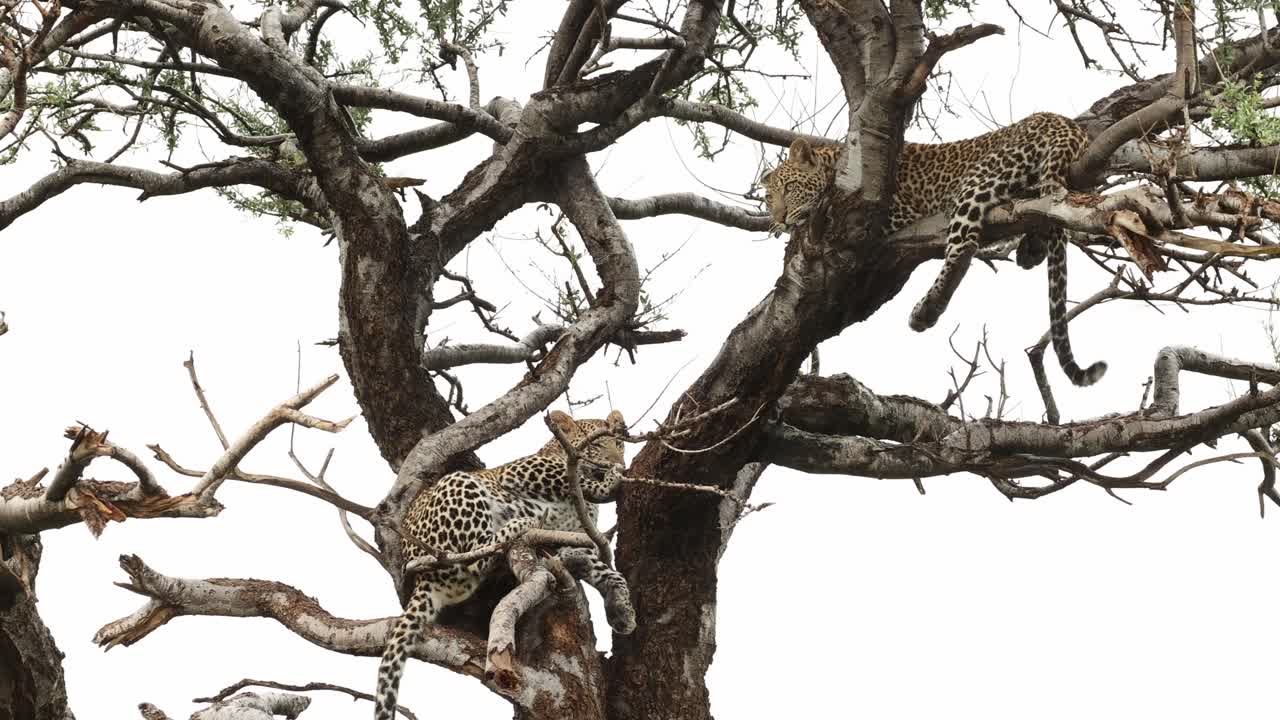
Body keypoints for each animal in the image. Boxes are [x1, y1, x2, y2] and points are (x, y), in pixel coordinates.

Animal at [374, 410, 636, 720]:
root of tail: (421, 578)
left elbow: (609, 573)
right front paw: (609, 481)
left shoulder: (575, 543)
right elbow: (572, 479)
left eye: (618, 444)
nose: (619, 463)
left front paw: (623, 612)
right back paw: (520, 524)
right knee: (476, 554)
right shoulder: (517, 472)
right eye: (594, 446)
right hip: (459, 486)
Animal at [760, 112, 1106, 388]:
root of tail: (1060, 121)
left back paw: (927, 309)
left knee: (964, 248)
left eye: (789, 188)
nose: (778, 218)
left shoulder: (889, 214)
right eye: (767, 198)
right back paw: (1030, 249)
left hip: (979, 179)